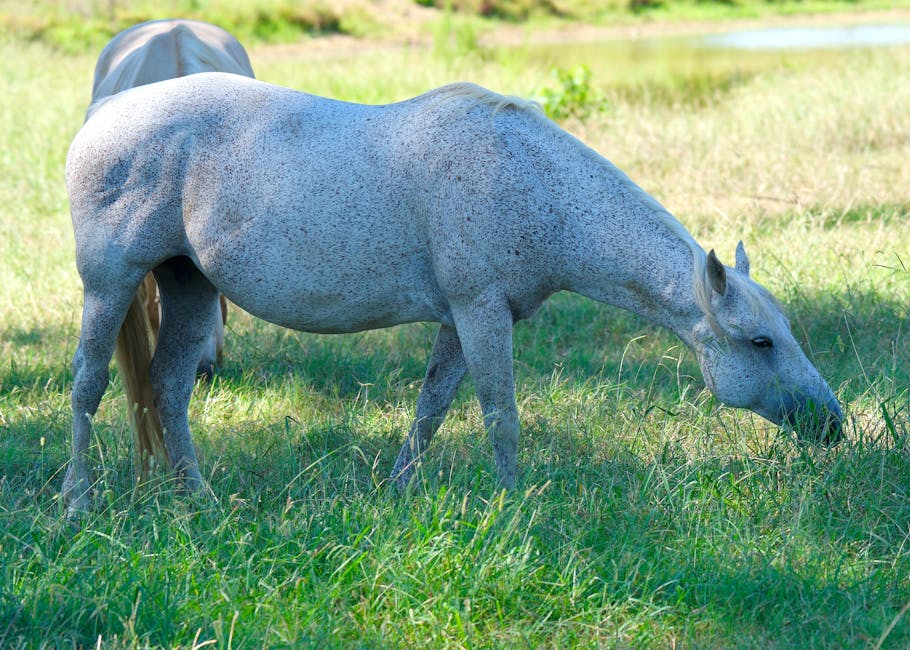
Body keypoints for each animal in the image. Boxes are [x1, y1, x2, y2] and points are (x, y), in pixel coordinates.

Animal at [64, 73, 848, 512]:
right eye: (760, 341)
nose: (835, 425)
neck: (532, 182)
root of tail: (100, 114)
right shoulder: (480, 312)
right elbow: (500, 416)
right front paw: (514, 505)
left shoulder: (457, 320)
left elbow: (430, 411)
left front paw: (397, 497)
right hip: (110, 284)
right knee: (90, 386)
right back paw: (78, 504)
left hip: (191, 286)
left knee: (168, 388)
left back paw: (198, 502)